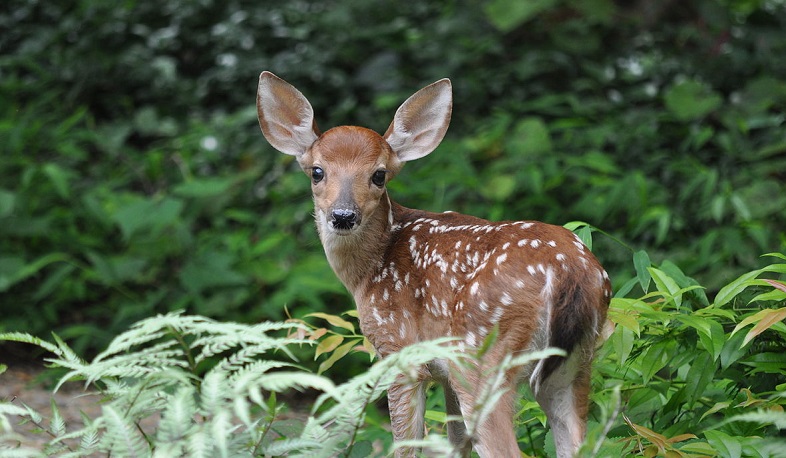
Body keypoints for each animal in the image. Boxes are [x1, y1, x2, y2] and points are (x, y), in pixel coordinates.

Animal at [258, 72, 612, 458]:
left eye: (379, 175)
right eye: (317, 172)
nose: (343, 215)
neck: (369, 271)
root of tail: (569, 272)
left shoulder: (398, 349)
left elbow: (407, 442)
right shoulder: (443, 372)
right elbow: (455, 441)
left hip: (483, 355)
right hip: (575, 365)